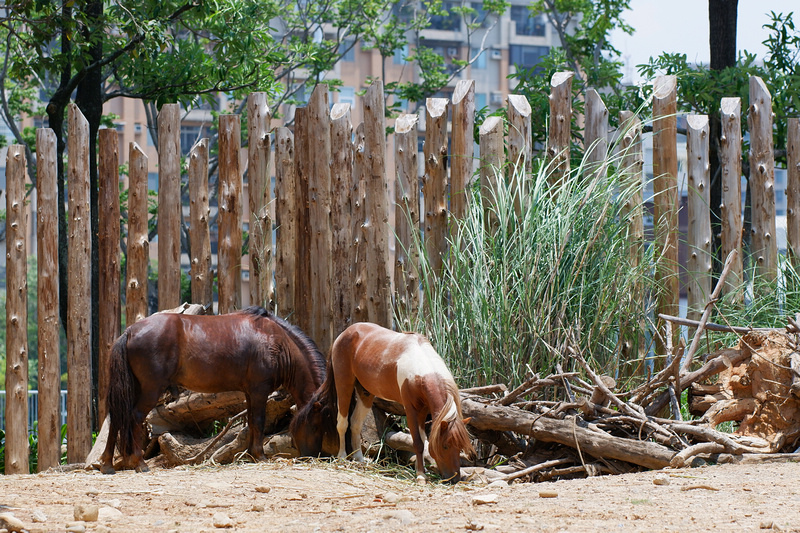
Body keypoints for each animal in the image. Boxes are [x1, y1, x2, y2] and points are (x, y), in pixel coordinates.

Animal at [100, 306, 324, 472]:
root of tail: (130, 331)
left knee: (118, 417)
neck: (275, 340)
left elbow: (252, 422)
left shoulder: (250, 393)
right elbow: (259, 421)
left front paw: (250, 454)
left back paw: (107, 464)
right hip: (151, 389)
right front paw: (260, 456)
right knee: (135, 417)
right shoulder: (259, 391)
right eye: (317, 424)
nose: (319, 455)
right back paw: (139, 463)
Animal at [290, 320, 472, 482]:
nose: (454, 479)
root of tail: (344, 334)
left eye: (460, 446)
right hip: (344, 385)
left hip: (365, 393)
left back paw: (359, 459)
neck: (421, 371)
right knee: (342, 423)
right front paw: (421, 476)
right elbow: (418, 442)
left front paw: (423, 471)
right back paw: (342, 457)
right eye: (445, 446)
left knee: (355, 423)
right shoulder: (412, 409)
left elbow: (424, 440)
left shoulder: (424, 411)